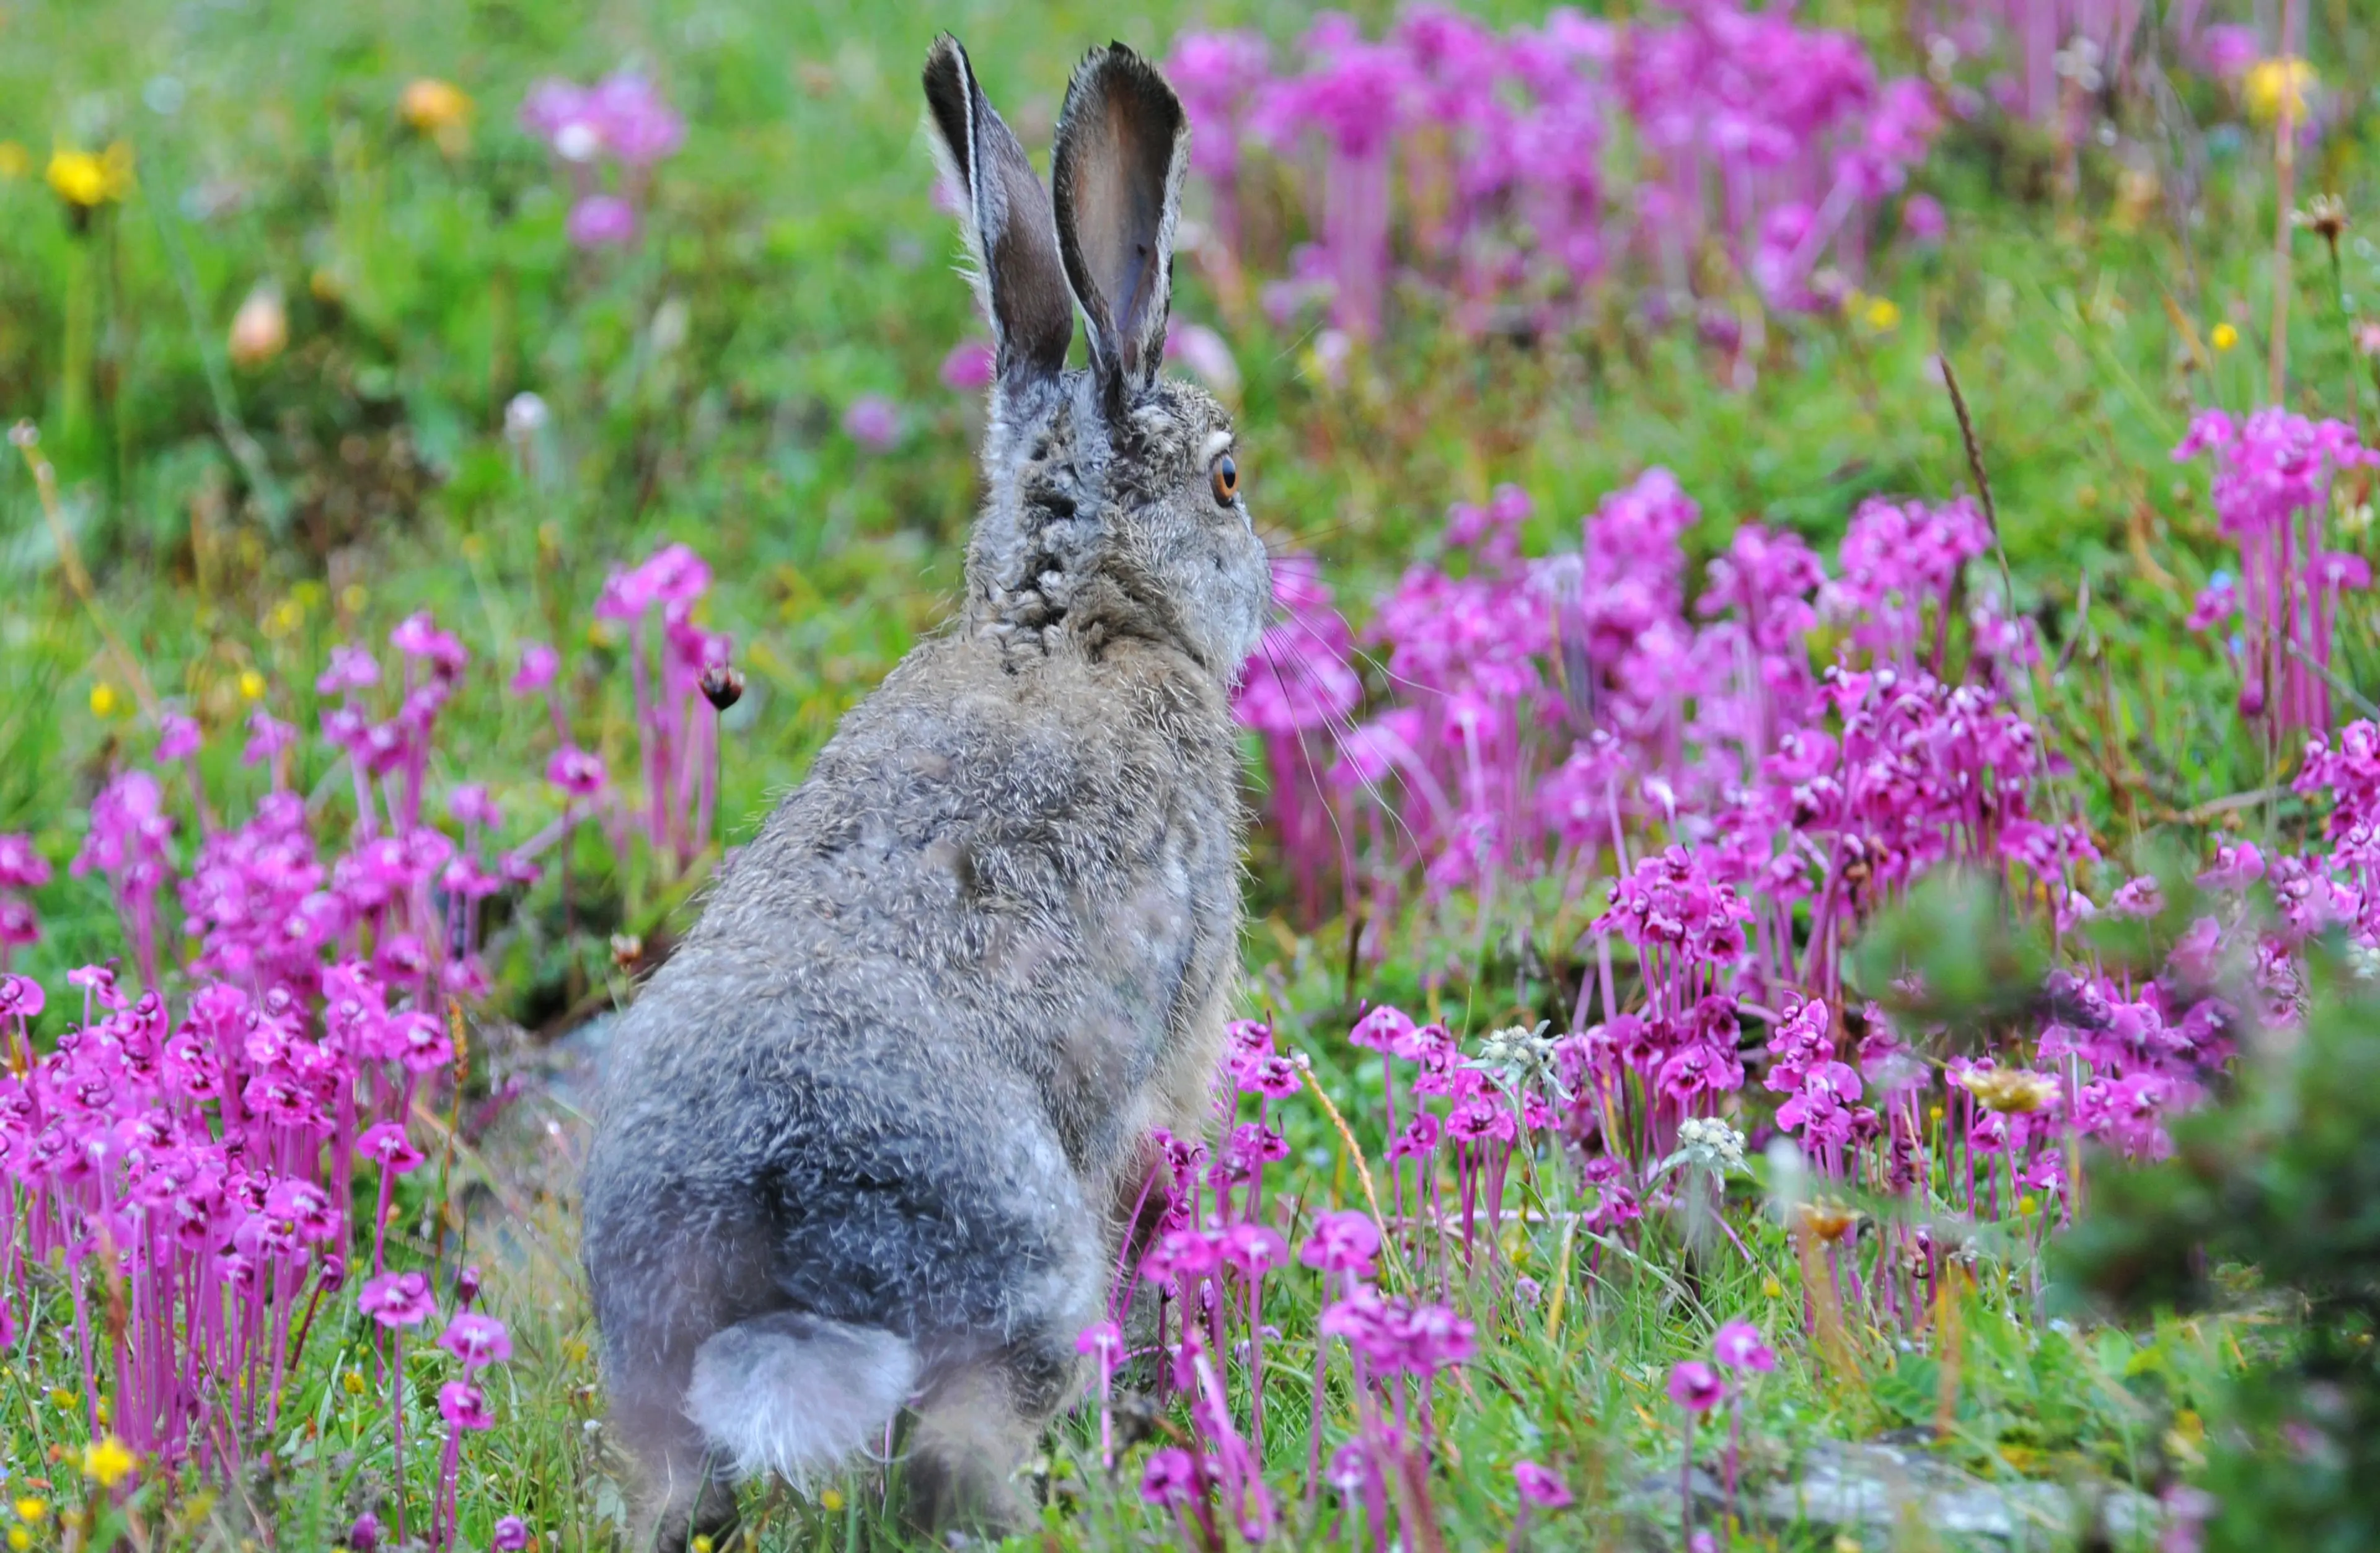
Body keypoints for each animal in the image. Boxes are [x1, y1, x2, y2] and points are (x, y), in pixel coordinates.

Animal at [580, 33, 1270, 1550]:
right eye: (1227, 481)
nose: (1269, 576)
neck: (1067, 614)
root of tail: (778, 1211)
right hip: (1016, 1281)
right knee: (963, 1454)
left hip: (650, 1351)